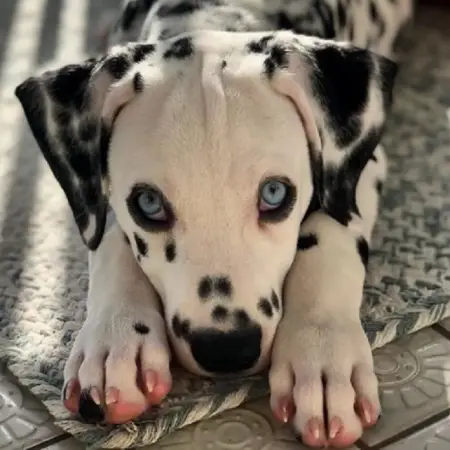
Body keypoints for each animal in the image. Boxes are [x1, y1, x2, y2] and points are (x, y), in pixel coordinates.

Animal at [15, 0, 414, 446]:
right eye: (148, 203)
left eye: (274, 194)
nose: (226, 350)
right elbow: (111, 237)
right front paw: (114, 341)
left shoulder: (356, 167)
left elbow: (330, 231)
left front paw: (323, 357)